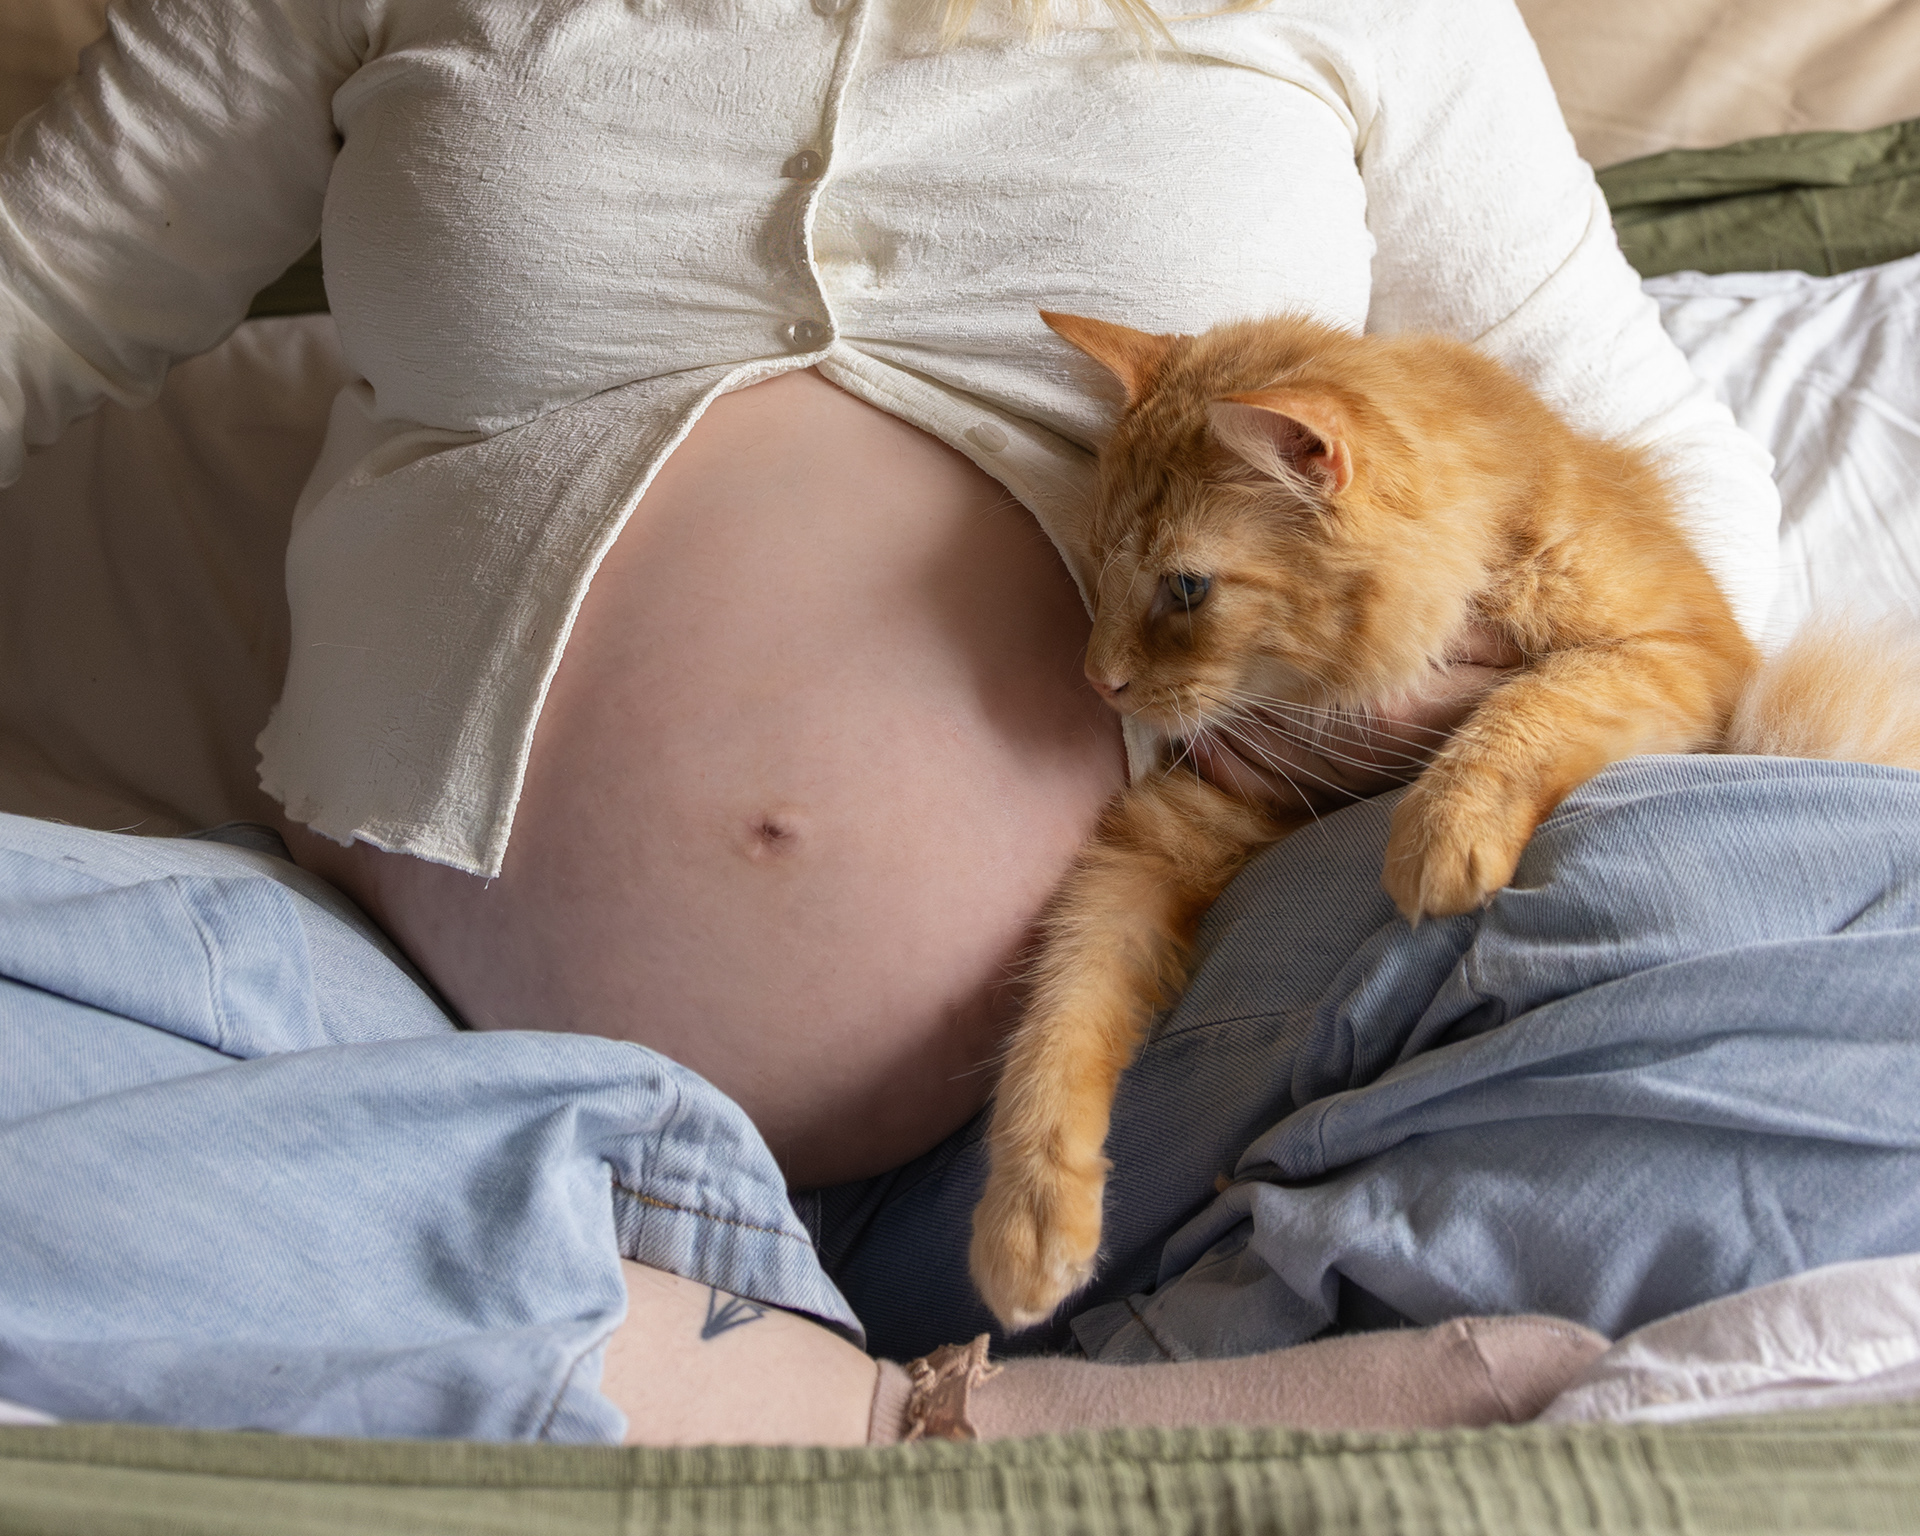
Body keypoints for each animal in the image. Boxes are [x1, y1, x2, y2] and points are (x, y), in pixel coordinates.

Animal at [967, 308, 1920, 1331]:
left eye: (1187, 588)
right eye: (1102, 570)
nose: (1096, 682)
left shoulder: (1689, 661)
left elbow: (1533, 700)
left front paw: (1442, 827)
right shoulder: (1165, 835)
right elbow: (1062, 1011)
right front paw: (1027, 1218)